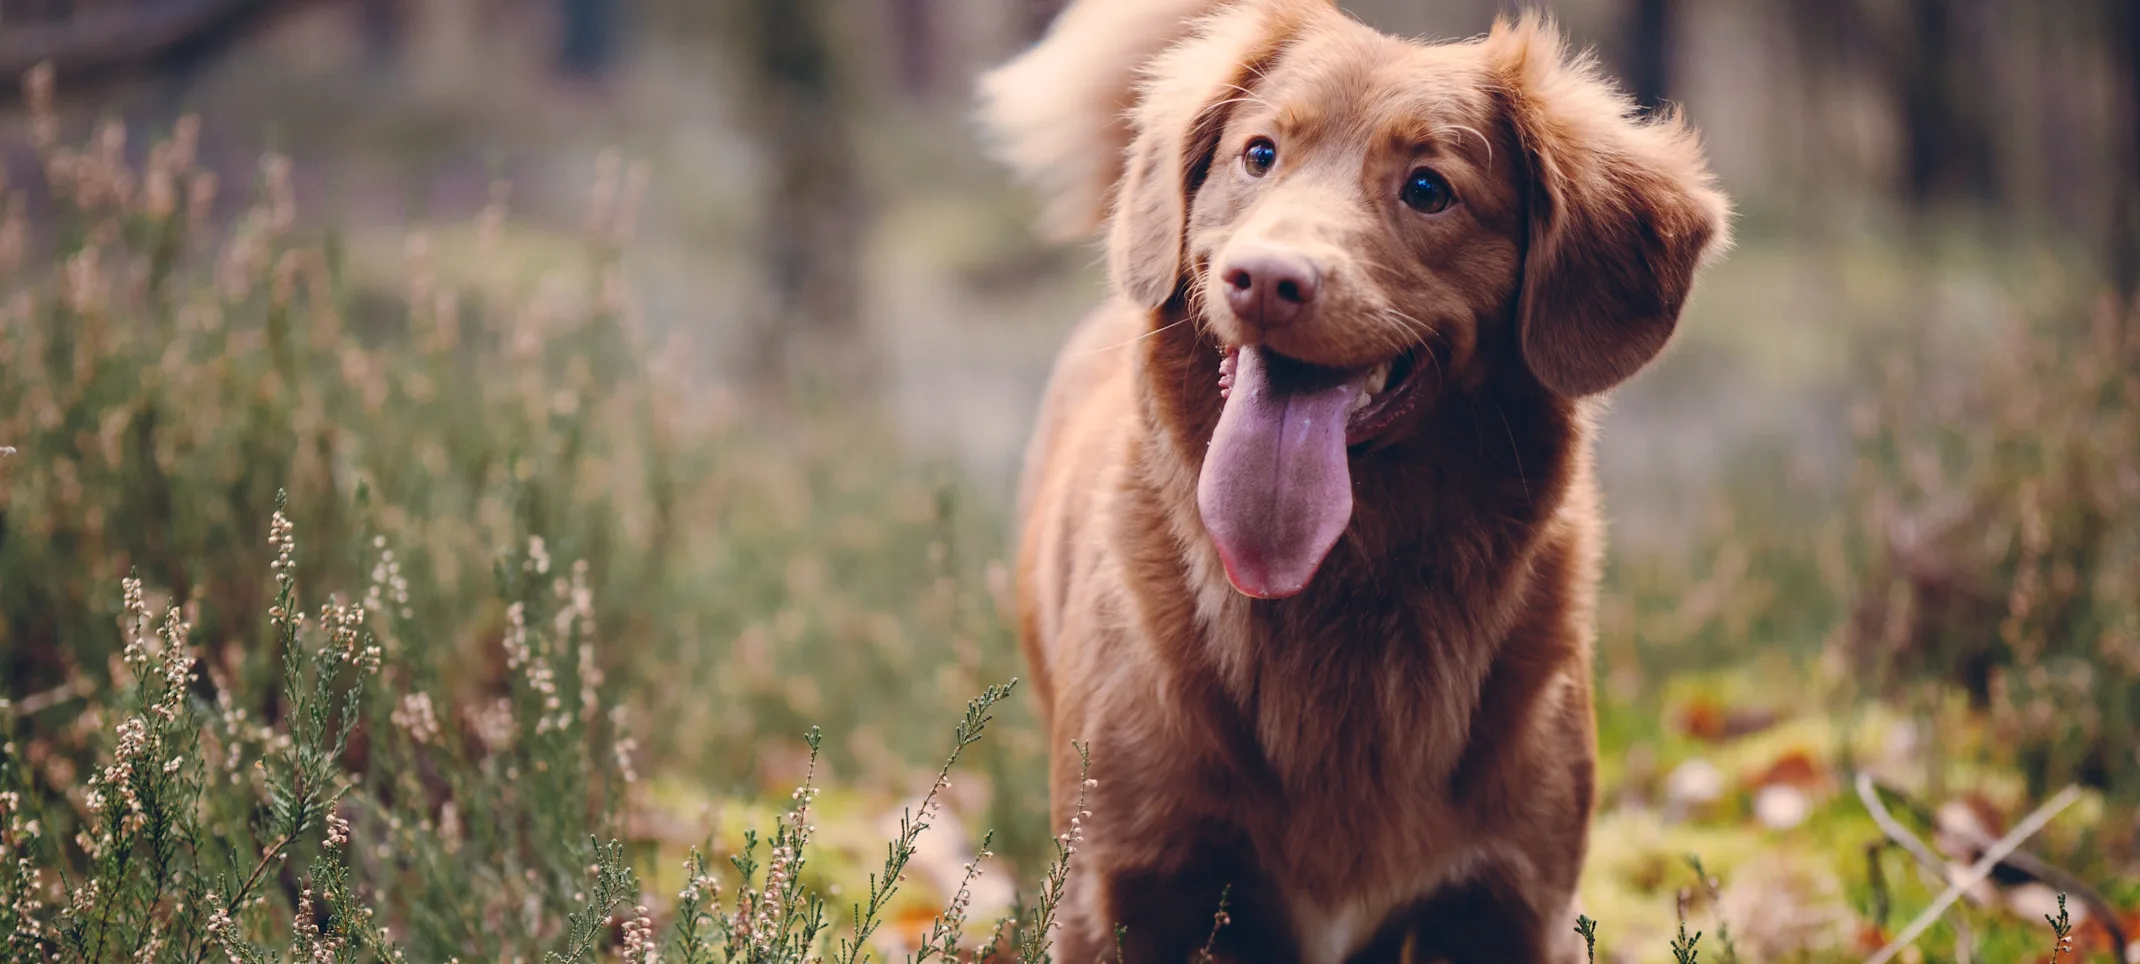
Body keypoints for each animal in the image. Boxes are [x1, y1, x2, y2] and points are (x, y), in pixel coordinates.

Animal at [980, 3, 1729, 959]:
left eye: (1428, 188)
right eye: (1259, 154)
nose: (1265, 280)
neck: (1345, 588)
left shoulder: (1512, 901)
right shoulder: (1120, 890)